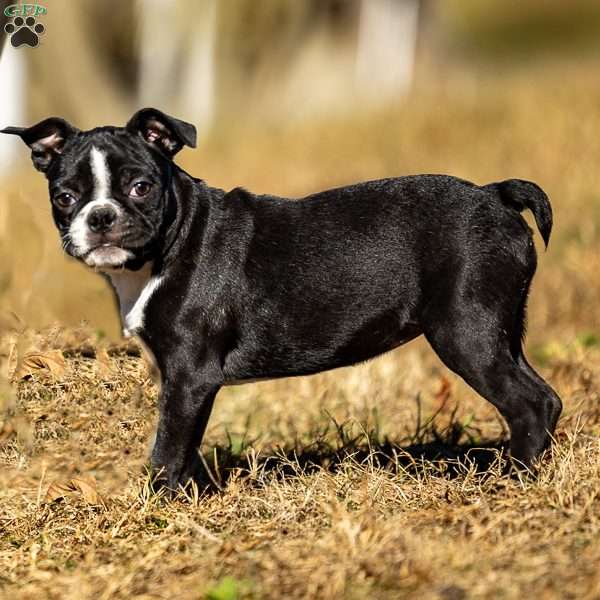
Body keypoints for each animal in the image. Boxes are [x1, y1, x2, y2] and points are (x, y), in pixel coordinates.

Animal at [1, 110, 564, 490]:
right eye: (64, 197)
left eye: (140, 187)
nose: (100, 217)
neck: (166, 247)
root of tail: (494, 194)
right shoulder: (181, 380)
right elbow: (185, 444)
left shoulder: (190, 374)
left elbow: (167, 448)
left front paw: (153, 505)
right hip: (499, 330)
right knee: (545, 397)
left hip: (465, 332)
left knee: (529, 404)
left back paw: (510, 481)